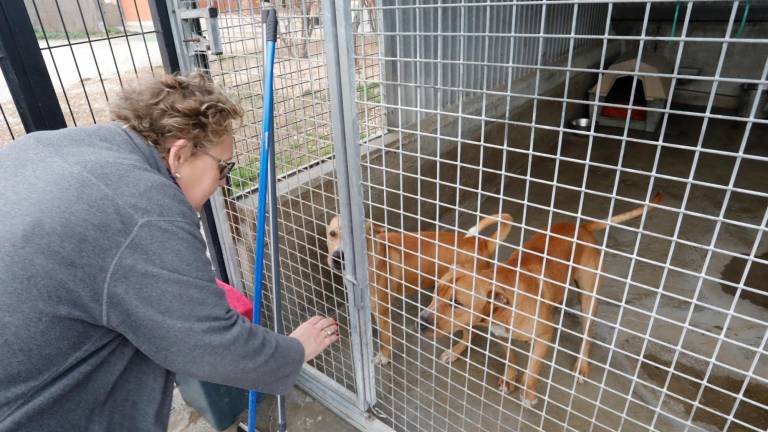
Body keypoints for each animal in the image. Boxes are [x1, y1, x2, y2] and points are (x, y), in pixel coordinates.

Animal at [324, 213, 510, 364]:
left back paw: (453, 352)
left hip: (462, 311)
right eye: (332, 233)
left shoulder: (382, 311)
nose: (338, 258)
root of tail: (483, 243)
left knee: (471, 333)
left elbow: (385, 338)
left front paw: (384, 356)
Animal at [416, 194, 664, 406]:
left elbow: (532, 369)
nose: (421, 322)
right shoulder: (500, 332)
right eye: (436, 292)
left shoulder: (544, 335)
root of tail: (581, 227)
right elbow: (510, 356)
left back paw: (581, 365)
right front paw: (509, 378)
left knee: (587, 333)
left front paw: (528, 393)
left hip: (589, 297)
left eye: (457, 303)